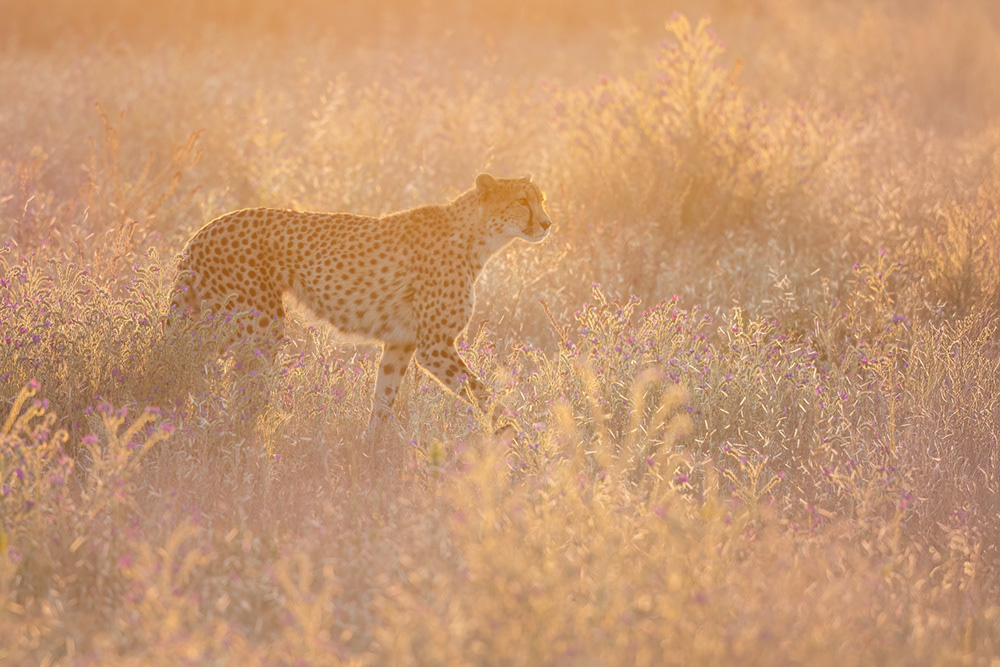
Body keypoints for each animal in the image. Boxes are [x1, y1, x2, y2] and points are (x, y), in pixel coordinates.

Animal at [167, 173, 552, 437]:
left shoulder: (402, 343)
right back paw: (251, 435)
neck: (479, 237)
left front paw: (371, 451)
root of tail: (204, 228)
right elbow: (484, 395)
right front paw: (519, 438)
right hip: (260, 325)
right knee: (238, 386)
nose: (548, 223)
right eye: (521, 201)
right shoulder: (435, 346)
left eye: (541, 199)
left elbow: (384, 399)